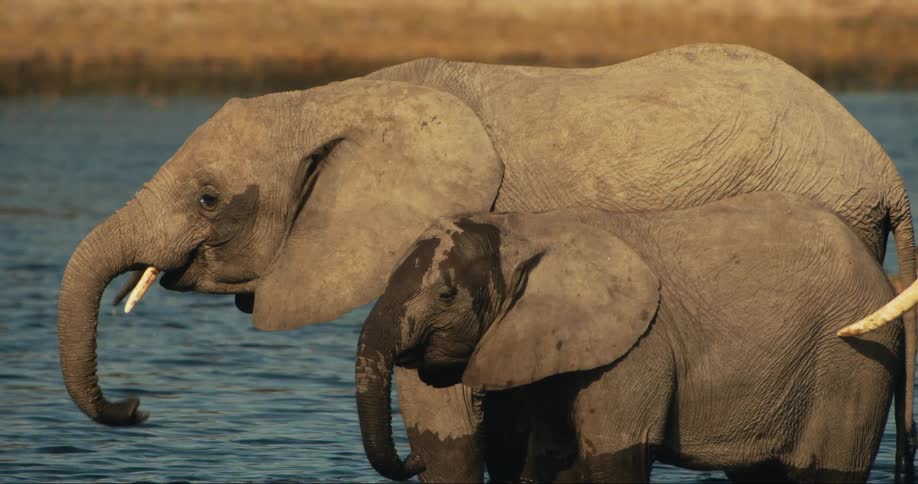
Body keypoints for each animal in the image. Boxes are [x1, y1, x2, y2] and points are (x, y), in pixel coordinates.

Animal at [355, 192, 904, 483]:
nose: (416, 458)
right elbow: (549, 455)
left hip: (853, 362)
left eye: (446, 295)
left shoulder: (637, 348)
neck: (520, 231)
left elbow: (614, 452)